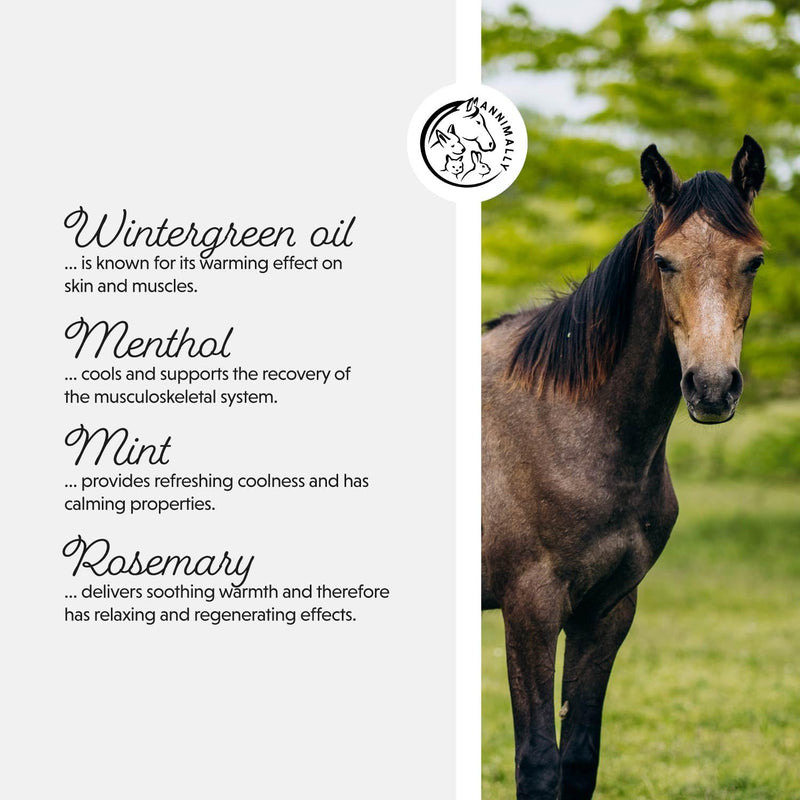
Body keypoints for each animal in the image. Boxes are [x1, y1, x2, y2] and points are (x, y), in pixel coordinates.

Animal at [482, 136, 766, 800]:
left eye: (754, 262)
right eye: (664, 261)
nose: (712, 389)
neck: (567, 421)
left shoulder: (607, 611)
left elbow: (579, 758)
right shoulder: (529, 609)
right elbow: (538, 762)